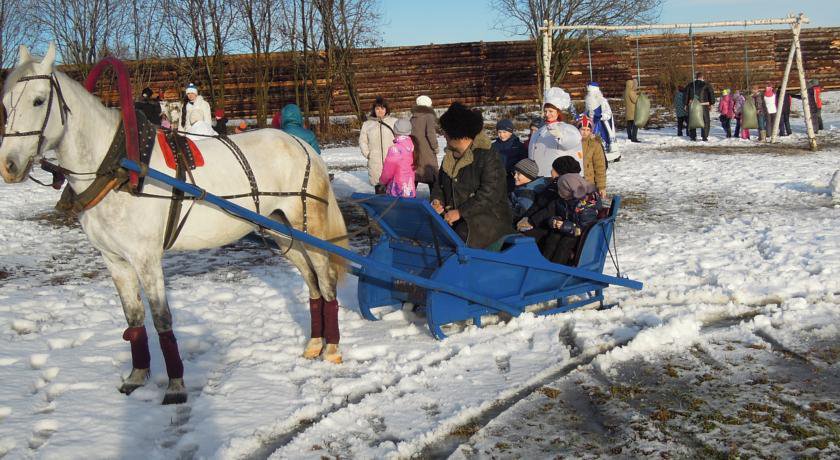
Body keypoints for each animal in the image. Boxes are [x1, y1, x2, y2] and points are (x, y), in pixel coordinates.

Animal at [0, 43, 348, 402]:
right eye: (6, 105)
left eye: (38, 100)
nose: (8, 165)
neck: (119, 169)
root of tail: (302, 145)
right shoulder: (114, 260)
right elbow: (134, 318)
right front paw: (137, 376)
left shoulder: (146, 257)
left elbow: (162, 318)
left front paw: (176, 385)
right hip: (282, 232)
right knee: (312, 282)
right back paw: (315, 343)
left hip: (308, 228)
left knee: (326, 278)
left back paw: (332, 348)